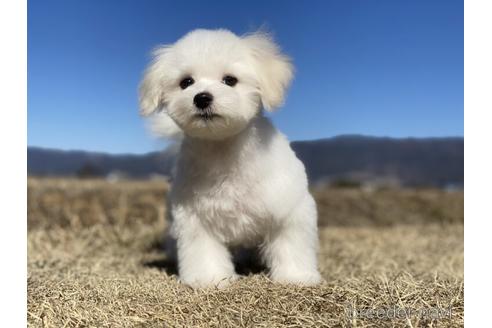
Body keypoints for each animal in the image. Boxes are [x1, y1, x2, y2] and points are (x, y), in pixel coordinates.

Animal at [139, 29, 322, 288]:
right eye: (186, 82)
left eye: (230, 80)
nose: (201, 98)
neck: (223, 148)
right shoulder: (196, 218)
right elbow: (203, 250)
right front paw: (209, 278)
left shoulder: (289, 206)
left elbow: (291, 244)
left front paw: (296, 277)